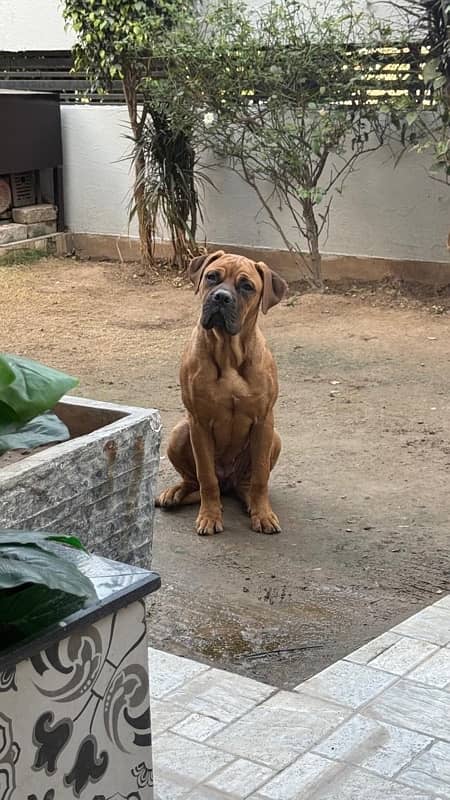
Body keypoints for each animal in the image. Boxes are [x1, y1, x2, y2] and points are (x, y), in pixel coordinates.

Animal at [156, 250, 286, 536]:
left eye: (247, 286)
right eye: (211, 277)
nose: (221, 297)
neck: (228, 353)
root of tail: (230, 483)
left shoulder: (264, 421)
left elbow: (261, 477)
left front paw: (263, 514)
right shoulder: (199, 422)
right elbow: (206, 478)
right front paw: (209, 516)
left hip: (274, 438)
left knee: (248, 482)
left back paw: (250, 501)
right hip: (179, 432)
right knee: (194, 481)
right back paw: (175, 493)